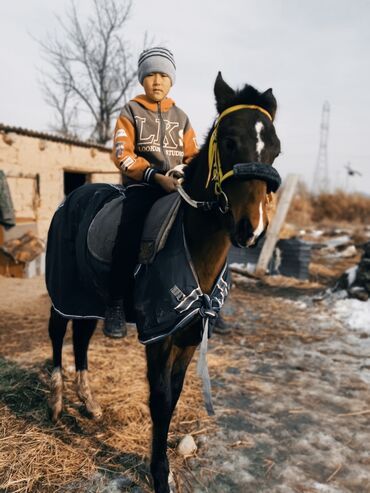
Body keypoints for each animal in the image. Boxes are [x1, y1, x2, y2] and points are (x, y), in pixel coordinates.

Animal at [47, 70, 282, 492]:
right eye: (229, 141)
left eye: (275, 150)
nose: (251, 228)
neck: (191, 244)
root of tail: (73, 195)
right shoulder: (159, 337)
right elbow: (159, 401)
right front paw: (159, 475)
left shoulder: (188, 335)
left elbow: (173, 399)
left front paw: (164, 468)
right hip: (64, 291)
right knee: (58, 335)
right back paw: (57, 404)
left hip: (91, 299)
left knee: (82, 338)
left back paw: (88, 403)